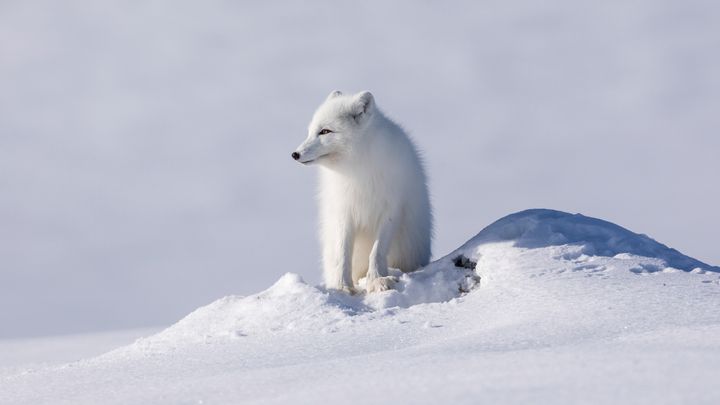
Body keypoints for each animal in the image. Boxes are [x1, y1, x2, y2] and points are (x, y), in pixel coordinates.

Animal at [292, 90, 434, 294]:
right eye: (310, 131)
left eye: (325, 131)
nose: (295, 154)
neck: (358, 170)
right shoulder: (343, 211)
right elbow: (343, 254)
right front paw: (342, 286)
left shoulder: (391, 209)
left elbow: (377, 251)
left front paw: (377, 280)